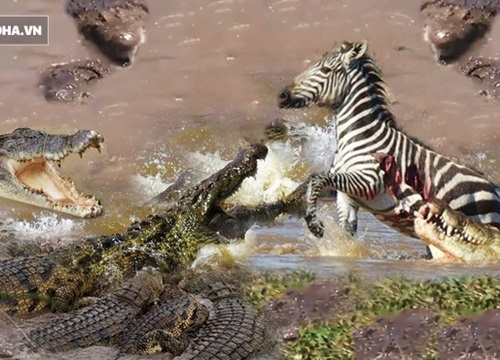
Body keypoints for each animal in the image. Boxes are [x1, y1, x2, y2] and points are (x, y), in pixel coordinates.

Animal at [276, 40, 500, 258]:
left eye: (325, 70)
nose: (281, 96)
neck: (359, 137)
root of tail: (492, 188)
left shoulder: (368, 182)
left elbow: (317, 178)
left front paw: (313, 224)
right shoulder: (347, 197)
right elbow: (346, 231)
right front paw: (342, 252)